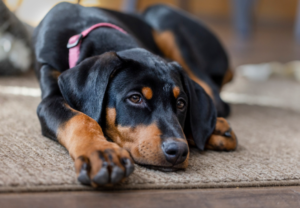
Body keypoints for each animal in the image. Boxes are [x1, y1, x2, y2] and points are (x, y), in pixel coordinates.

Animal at [32, 2, 238, 186]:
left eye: (181, 103)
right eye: (135, 98)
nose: (178, 151)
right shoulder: (49, 94)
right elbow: (80, 118)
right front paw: (102, 153)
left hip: (162, 15)